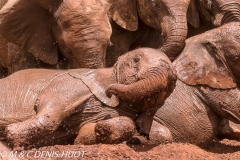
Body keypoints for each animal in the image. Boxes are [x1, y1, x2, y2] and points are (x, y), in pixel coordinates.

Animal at [0, 48, 176, 149]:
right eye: (136, 60)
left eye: (173, 79)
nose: (110, 92)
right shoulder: (70, 84)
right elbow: (49, 118)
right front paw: (12, 137)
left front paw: (98, 129)